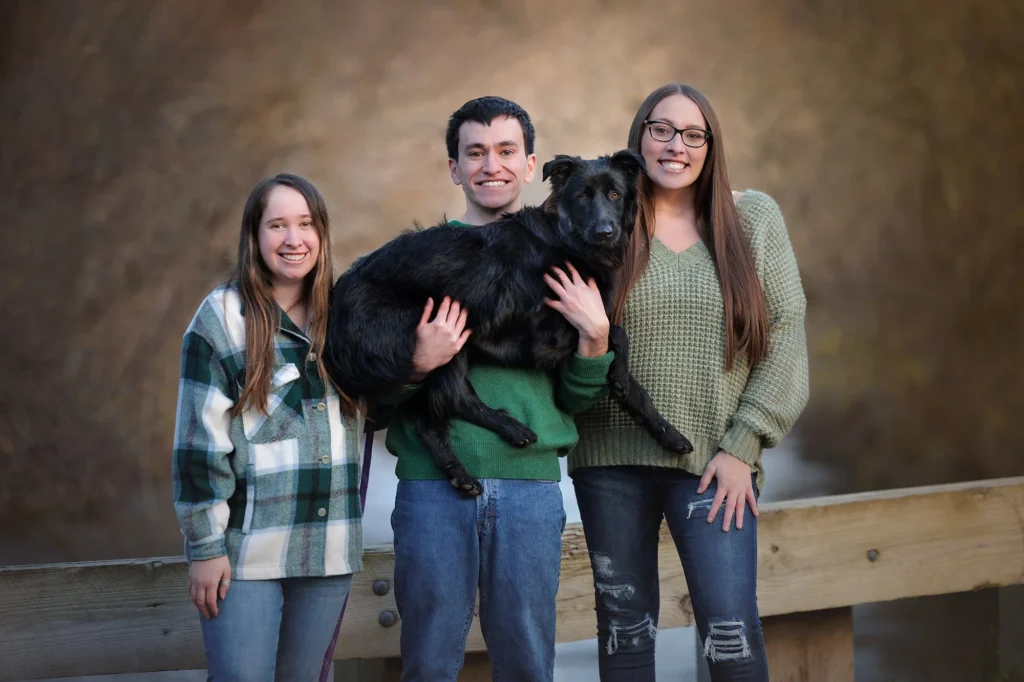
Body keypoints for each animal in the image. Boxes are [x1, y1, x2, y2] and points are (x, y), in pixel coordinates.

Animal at [324, 150, 692, 496]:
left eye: (615, 194)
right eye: (582, 197)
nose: (605, 232)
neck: (566, 241)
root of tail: (339, 294)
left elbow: (634, 385)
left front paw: (667, 434)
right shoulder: (547, 339)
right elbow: (618, 334)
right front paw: (618, 375)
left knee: (430, 424)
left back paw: (461, 476)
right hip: (440, 335)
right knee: (457, 398)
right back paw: (512, 429)